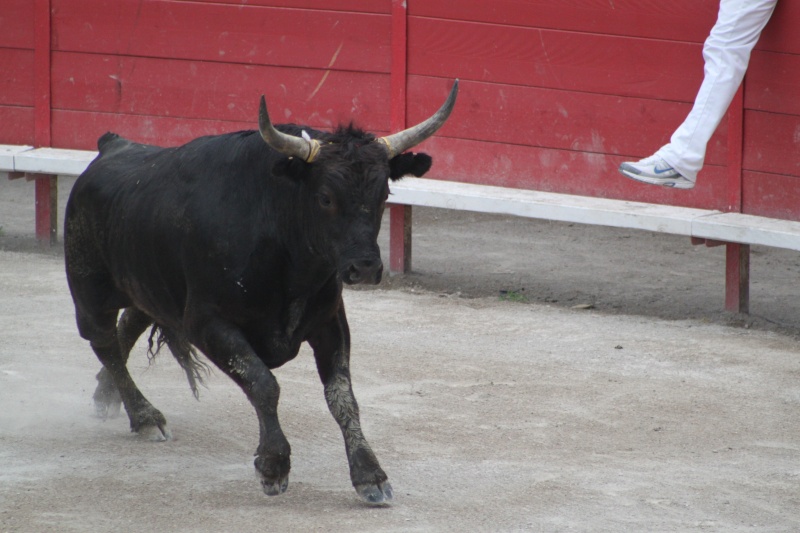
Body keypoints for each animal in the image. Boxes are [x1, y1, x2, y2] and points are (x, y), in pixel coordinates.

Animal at [64, 80, 456, 502]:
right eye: (325, 197)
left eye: (383, 195)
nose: (365, 267)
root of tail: (112, 145)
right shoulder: (207, 323)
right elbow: (263, 384)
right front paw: (273, 465)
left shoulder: (331, 323)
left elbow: (342, 397)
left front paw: (369, 474)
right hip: (89, 292)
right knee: (105, 343)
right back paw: (145, 416)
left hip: (150, 285)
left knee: (131, 323)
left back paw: (107, 396)